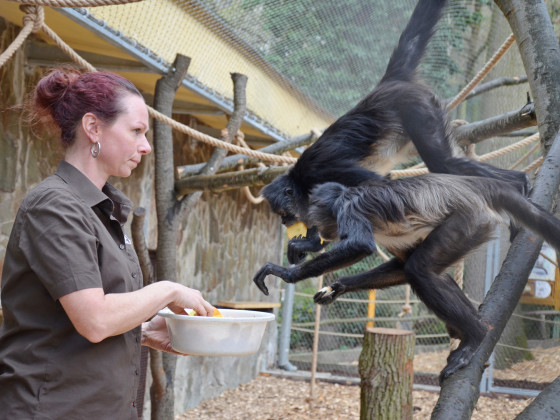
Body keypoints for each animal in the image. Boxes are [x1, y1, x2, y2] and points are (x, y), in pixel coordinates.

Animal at [253, 174, 560, 380]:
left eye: (286, 213)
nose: (288, 222)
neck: (344, 195)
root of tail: (470, 187)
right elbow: (399, 267)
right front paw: (338, 287)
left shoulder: (348, 207)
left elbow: (362, 245)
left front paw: (286, 273)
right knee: (427, 271)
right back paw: (468, 328)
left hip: (470, 222)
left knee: (420, 269)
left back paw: (476, 335)